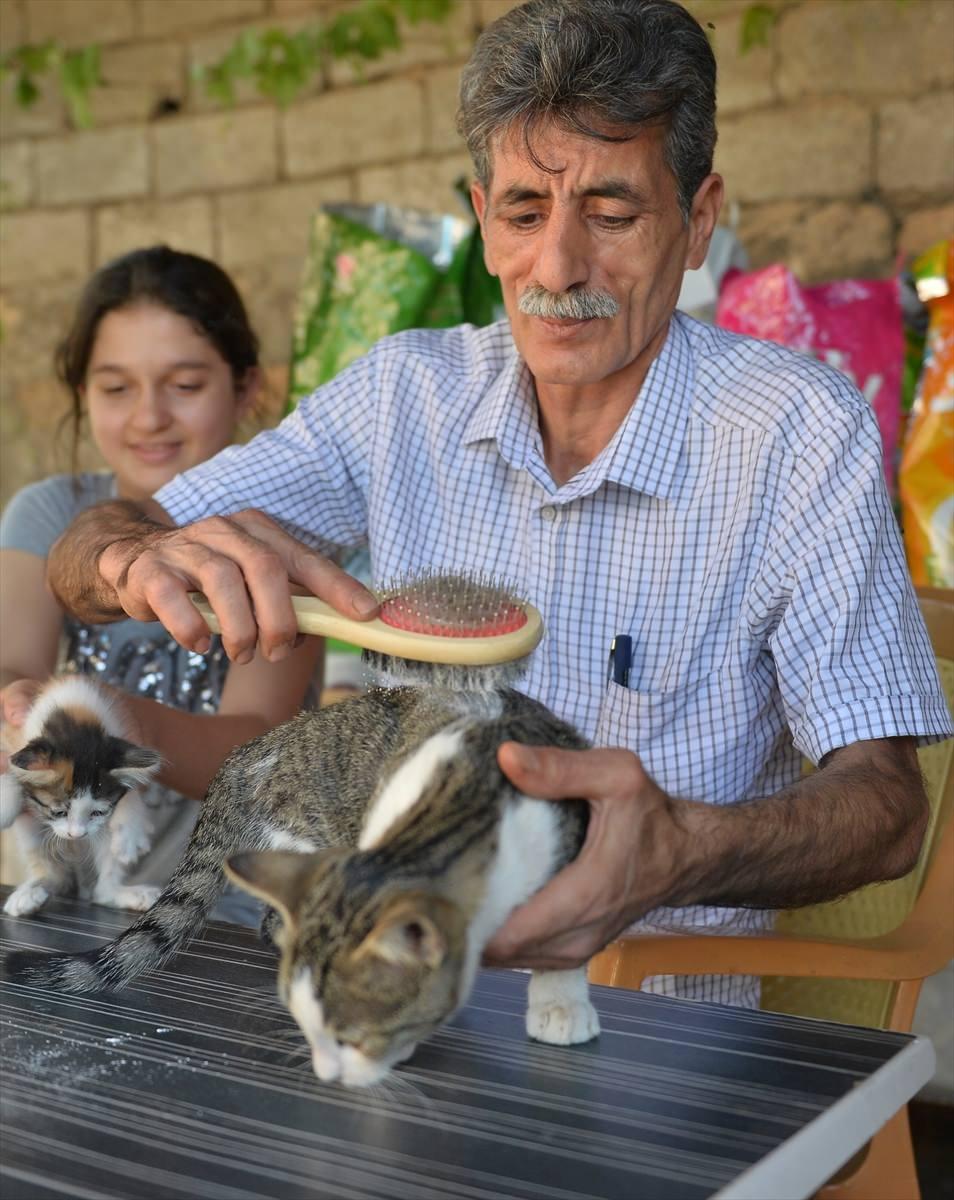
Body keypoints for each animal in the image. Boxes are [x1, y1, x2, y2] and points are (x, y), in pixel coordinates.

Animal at [0, 676, 162, 916]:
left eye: (98, 812)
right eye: (59, 812)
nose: (76, 835)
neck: (76, 709)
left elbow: (132, 792)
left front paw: (131, 829)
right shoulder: (12, 734)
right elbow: (9, 765)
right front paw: (5, 800)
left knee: (101, 891)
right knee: (57, 876)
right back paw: (31, 892)